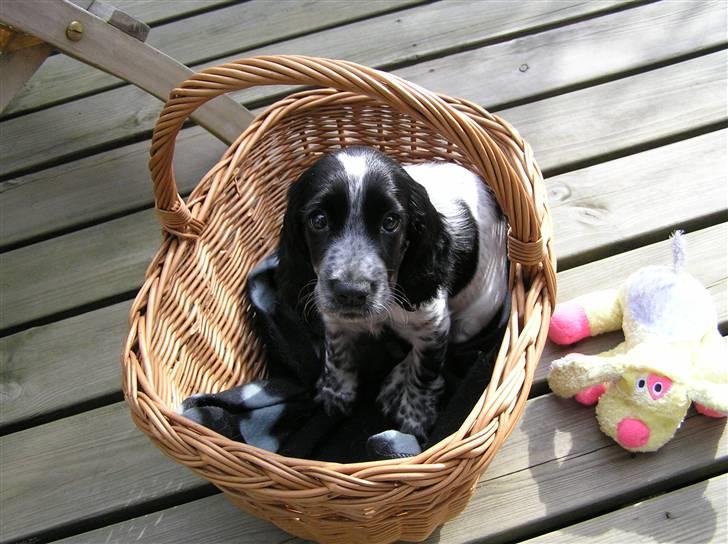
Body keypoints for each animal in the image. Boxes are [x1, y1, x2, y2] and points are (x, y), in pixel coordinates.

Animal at [276, 147, 510, 440]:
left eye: (390, 222)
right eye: (318, 220)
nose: (351, 293)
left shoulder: (433, 322)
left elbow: (425, 369)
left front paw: (414, 416)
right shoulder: (335, 317)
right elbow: (337, 352)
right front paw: (335, 392)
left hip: (475, 316)